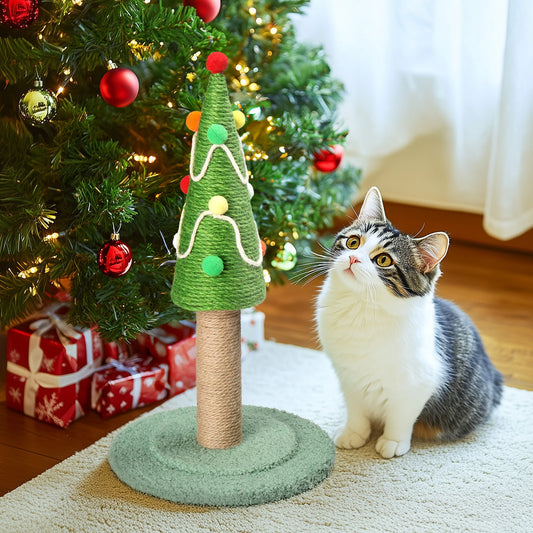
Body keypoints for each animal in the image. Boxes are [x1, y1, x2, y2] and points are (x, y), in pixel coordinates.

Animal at [316, 187, 502, 458]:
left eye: (383, 260)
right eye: (353, 243)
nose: (353, 259)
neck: (361, 308)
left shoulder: (416, 385)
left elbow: (400, 417)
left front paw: (392, 442)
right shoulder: (348, 377)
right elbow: (356, 410)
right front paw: (354, 433)